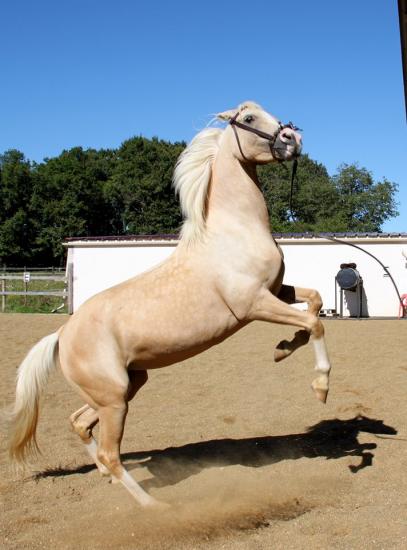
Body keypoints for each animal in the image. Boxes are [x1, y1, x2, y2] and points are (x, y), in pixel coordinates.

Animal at [8, 102, 332, 508]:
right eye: (249, 119)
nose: (293, 139)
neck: (233, 232)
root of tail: (61, 334)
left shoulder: (277, 291)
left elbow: (315, 303)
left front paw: (282, 349)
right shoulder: (253, 304)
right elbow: (315, 323)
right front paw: (320, 386)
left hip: (127, 385)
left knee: (80, 423)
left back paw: (109, 480)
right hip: (114, 400)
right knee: (109, 453)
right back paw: (154, 506)